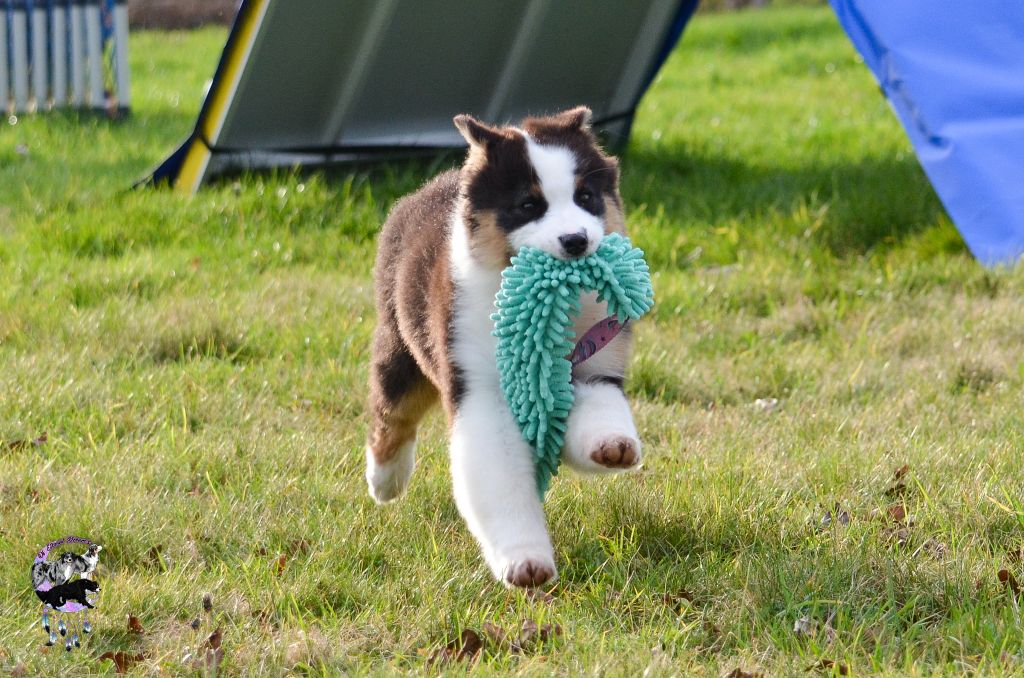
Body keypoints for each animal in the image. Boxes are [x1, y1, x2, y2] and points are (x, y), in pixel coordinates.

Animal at [366, 106, 642, 588]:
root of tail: (424, 190)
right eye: (529, 205)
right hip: (400, 342)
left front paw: (613, 446)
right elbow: (499, 478)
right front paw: (525, 563)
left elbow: (601, 408)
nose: (577, 241)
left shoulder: (593, 362)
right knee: (391, 414)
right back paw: (385, 482)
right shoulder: (480, 387)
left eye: (586, 196)